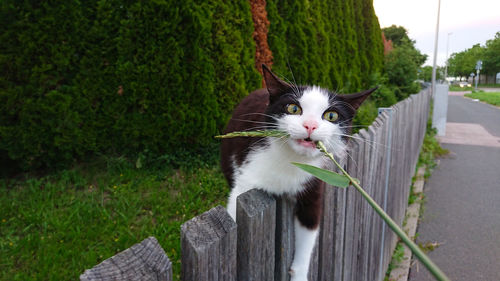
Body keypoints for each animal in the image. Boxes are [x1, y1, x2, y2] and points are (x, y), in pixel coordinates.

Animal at [220, 64, 376, 278]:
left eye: (331, 115)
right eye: (293, 108)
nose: (310, 125)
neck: (292, 160)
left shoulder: (313, 184)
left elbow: (309, 230)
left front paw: (299, 273)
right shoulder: (246, 181)